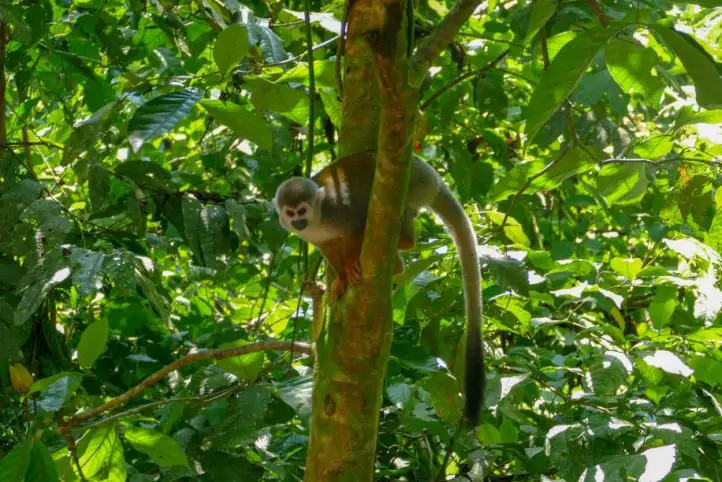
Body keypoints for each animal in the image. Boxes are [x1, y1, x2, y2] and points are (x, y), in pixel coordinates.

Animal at [272, 149, 480, 424]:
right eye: (290, 213)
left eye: (302, 210)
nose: (298, 222)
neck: (318, 218)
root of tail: (434, 177)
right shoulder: (311, 235)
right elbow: (328, 246)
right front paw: (341, 278)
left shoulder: (339, 211)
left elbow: (355, 228)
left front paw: (351, 266)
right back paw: (397, 264)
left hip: (414, 184)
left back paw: (403, 246)